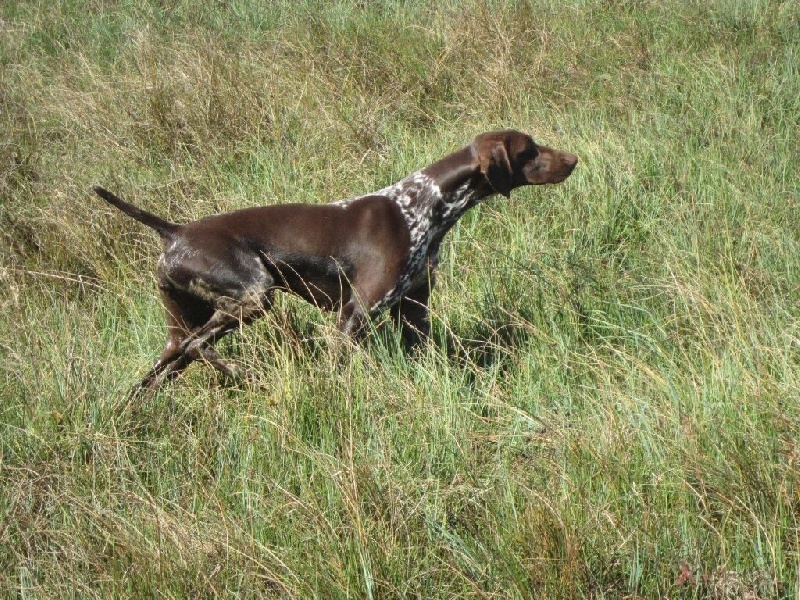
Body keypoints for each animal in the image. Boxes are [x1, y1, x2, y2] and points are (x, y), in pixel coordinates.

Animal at [97, 129, 580, 396]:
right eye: (530, 150)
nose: (574, 159)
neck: (424, 205)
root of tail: (175, 231)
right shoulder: (354, 316)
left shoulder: (414, 312)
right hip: (255, 295)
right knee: (198, 346)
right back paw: (242, 373)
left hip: (180, 328)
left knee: (162, 369)